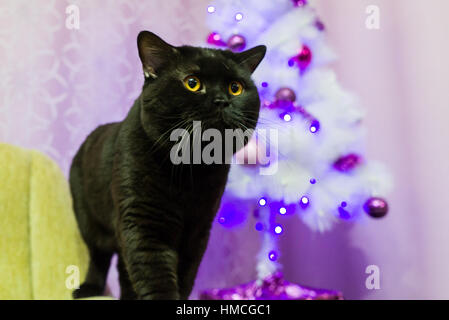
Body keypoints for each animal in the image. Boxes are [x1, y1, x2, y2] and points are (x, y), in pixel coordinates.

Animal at [69, 30, 264, 300]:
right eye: (192, 83)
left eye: (235, 88)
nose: (221, 100)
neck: (190, 172)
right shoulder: (143, 225)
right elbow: (155, 278)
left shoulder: (197, 231)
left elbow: (184, 277)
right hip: (90, 222)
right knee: (99, 258)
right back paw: (89, 288)